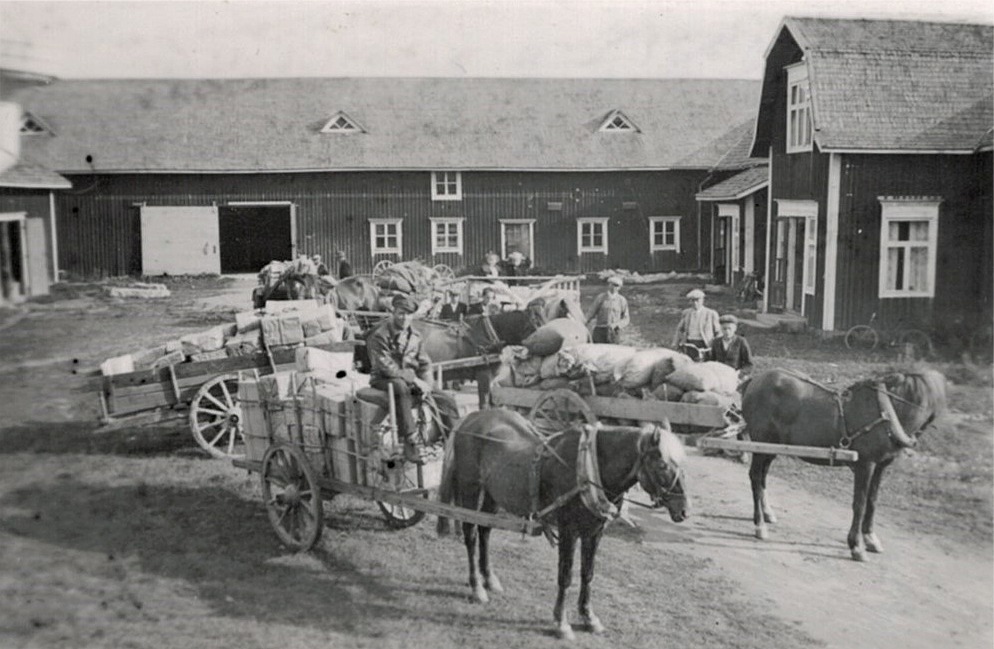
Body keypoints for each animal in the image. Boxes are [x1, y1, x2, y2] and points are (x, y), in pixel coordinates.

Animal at [438, 410, 684, 636]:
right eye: (662, 465)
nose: (683, 509)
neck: (588, 468)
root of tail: (469, 419)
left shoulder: (594, 532)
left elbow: (587, 574)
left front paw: (588, 616)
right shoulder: (568, 530)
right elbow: (565, 576)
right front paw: (561, 622)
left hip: (493, 494)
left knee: (485, 530)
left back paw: (489, 579)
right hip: (470, 488)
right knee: (470, 533)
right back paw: (477, 587)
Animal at [744, 368, 944, 560]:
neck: (886, 411)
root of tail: (756, 380)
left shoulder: (880, 466)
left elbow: (872, 500)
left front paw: (870, 537)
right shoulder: (866, 465)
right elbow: (860, 503)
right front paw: (856, 545)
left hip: (771, 447)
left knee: (763, 477)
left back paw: (767, 513)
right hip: (761, 444)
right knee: (755, 477)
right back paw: (759, 525)